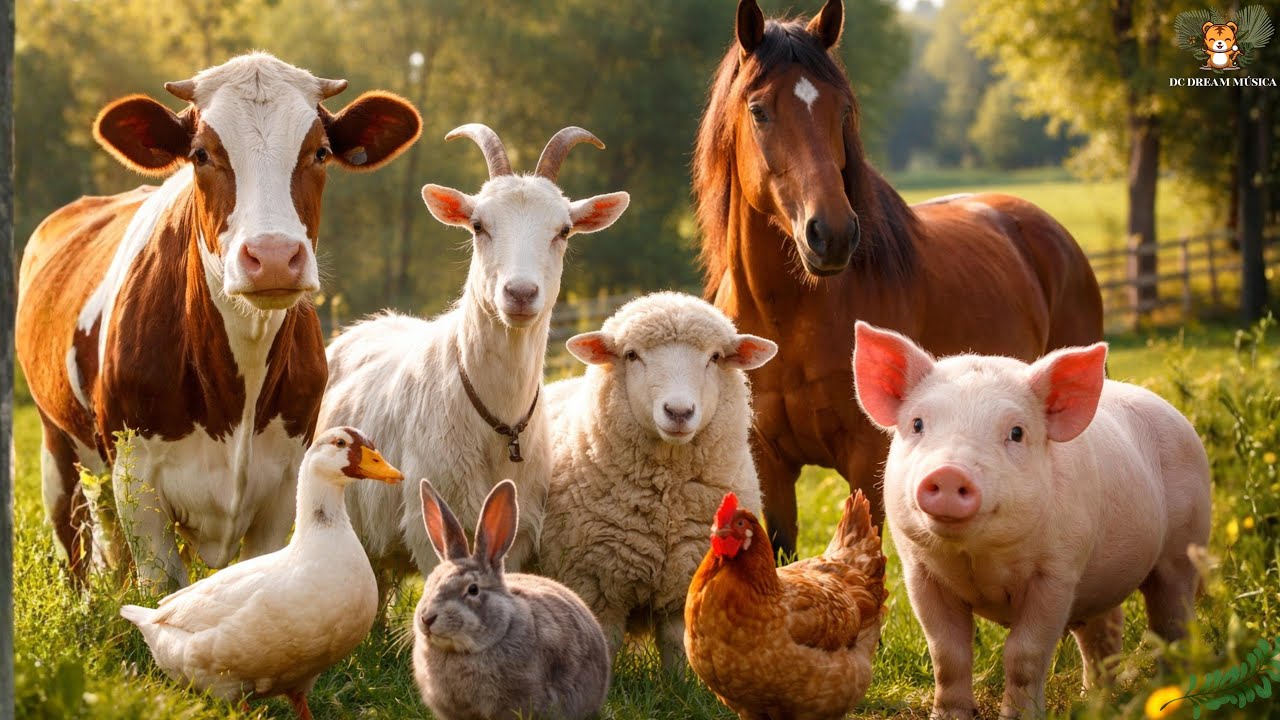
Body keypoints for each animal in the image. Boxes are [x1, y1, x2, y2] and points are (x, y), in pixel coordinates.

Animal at [16, 52, 422, 590]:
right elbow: (162, 589)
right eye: (201, 154)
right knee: (75, 540)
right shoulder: (138, 482)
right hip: (57, 445)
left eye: (320, 152)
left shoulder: (283, 481)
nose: (273, 257)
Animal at [318, 124, 629, 584]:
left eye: (564, 230)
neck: (499, 421)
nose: (520, 293)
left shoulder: (518, 532)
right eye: (478, 226)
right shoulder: (428, 524)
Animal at [537, 291, 778, 670]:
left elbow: (677, 650)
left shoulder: (684, 584)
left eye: (715, 357)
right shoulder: (597, 586)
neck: (667, 504)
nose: (678, 412)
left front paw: (679, 682)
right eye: (632, 355)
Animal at [694, 0, 1104, 560]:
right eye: (759, 111)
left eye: (842, 111)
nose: (832, 234)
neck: (788, 318)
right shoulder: (769, 463)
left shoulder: (868, 458)